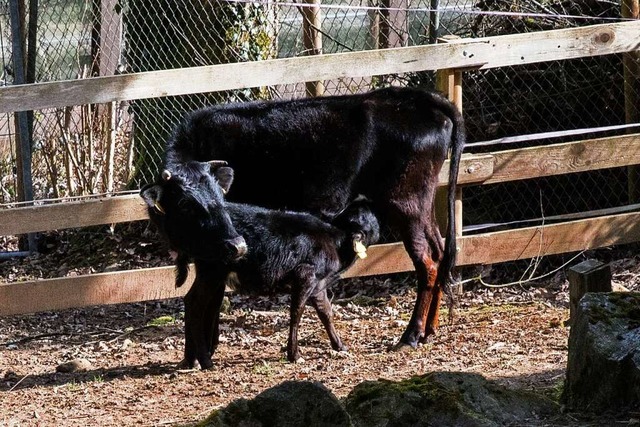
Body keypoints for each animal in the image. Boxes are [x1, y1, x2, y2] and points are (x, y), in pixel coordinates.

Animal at [141, 162, 380, 370]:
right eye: (369, 220)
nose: (368, 200)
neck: (335, 239)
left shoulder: (319, 285)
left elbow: (326, 312)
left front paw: (339, 345)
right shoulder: (305, 275)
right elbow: (297, 311)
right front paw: (294, 354)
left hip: (213, 273)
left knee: (202, 303)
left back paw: (191, 359)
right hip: (212, 268)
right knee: (195, 303)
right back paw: (204, 360)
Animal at [154, 86, 464, 348]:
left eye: (219, 199)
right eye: (185, 204)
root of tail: (421, 98)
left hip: (405, 205)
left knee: (427, 264)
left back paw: (411, 335)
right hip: (424, 205)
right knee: (439, 253)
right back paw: (429, 329)